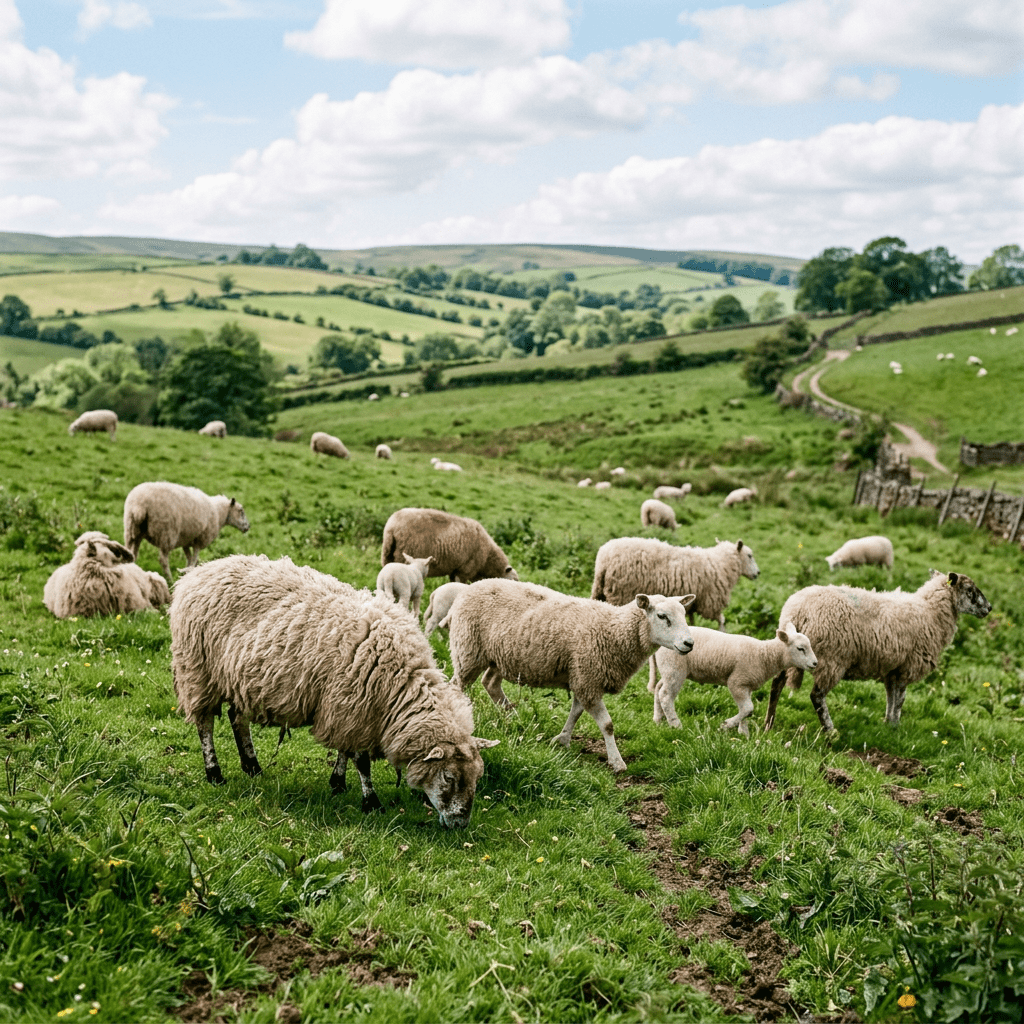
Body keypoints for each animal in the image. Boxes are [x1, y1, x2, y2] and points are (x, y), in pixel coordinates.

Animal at [169, 555, 498, 825]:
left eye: (478, 776)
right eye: (449, 776)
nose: (461, 823)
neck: (400, 685)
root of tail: (200, 571)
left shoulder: (349, 707)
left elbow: (344, 750)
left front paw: (337, 783)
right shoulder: (352, 706)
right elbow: (361, 761)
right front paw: (371, 802)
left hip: (240, 679)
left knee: (238, 719)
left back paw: (252, 767)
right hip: (198, 670)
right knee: (205, 724)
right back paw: (214, 773)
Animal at [447, 578, 694, 773]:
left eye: (684, 614)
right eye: (662, 616)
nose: (689, 643)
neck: (614, 630)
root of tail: (470, 587)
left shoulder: (582, 678)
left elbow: (576, 712)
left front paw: (562, 740)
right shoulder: (588, 678)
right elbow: (607, 725)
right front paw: (617, 762)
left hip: (500, 656)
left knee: (490, 683)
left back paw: (512, 717)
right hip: (468, 651)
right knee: (456, 686)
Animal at [592, 537, 759, 630]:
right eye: (750, 555)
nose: (758, 573)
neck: (721, 564)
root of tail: (603, 560)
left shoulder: (693, 603)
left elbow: (691, 621)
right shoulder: (710, 603)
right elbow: (722, 620)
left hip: (600, 590)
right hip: (621, 593)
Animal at [649, 623, 817, 735]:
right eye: (800, 649)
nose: (815, 664)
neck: (765, 655)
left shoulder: (747, 685)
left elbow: (746, 710)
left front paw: (743, 733)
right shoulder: (737, 682)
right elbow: (748, 708)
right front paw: (726, 725)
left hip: (668, 669)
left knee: (658, 689)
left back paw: (657, 719)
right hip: (675, 669)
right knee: (666, 695)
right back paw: (675, 724)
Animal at [765, 571, 992, 733]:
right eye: (970, 590)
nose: (989, 608)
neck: (930, 611)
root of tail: (798, 611)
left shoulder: (892, 668)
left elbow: (890, 697)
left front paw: (888, 724)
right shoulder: (907, 666)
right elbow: (900, 699)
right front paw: (896, 727)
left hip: (791, 652)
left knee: (776, 684)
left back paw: (769, 723)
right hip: (832, 658)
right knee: (817, 696)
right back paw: (830, 730)